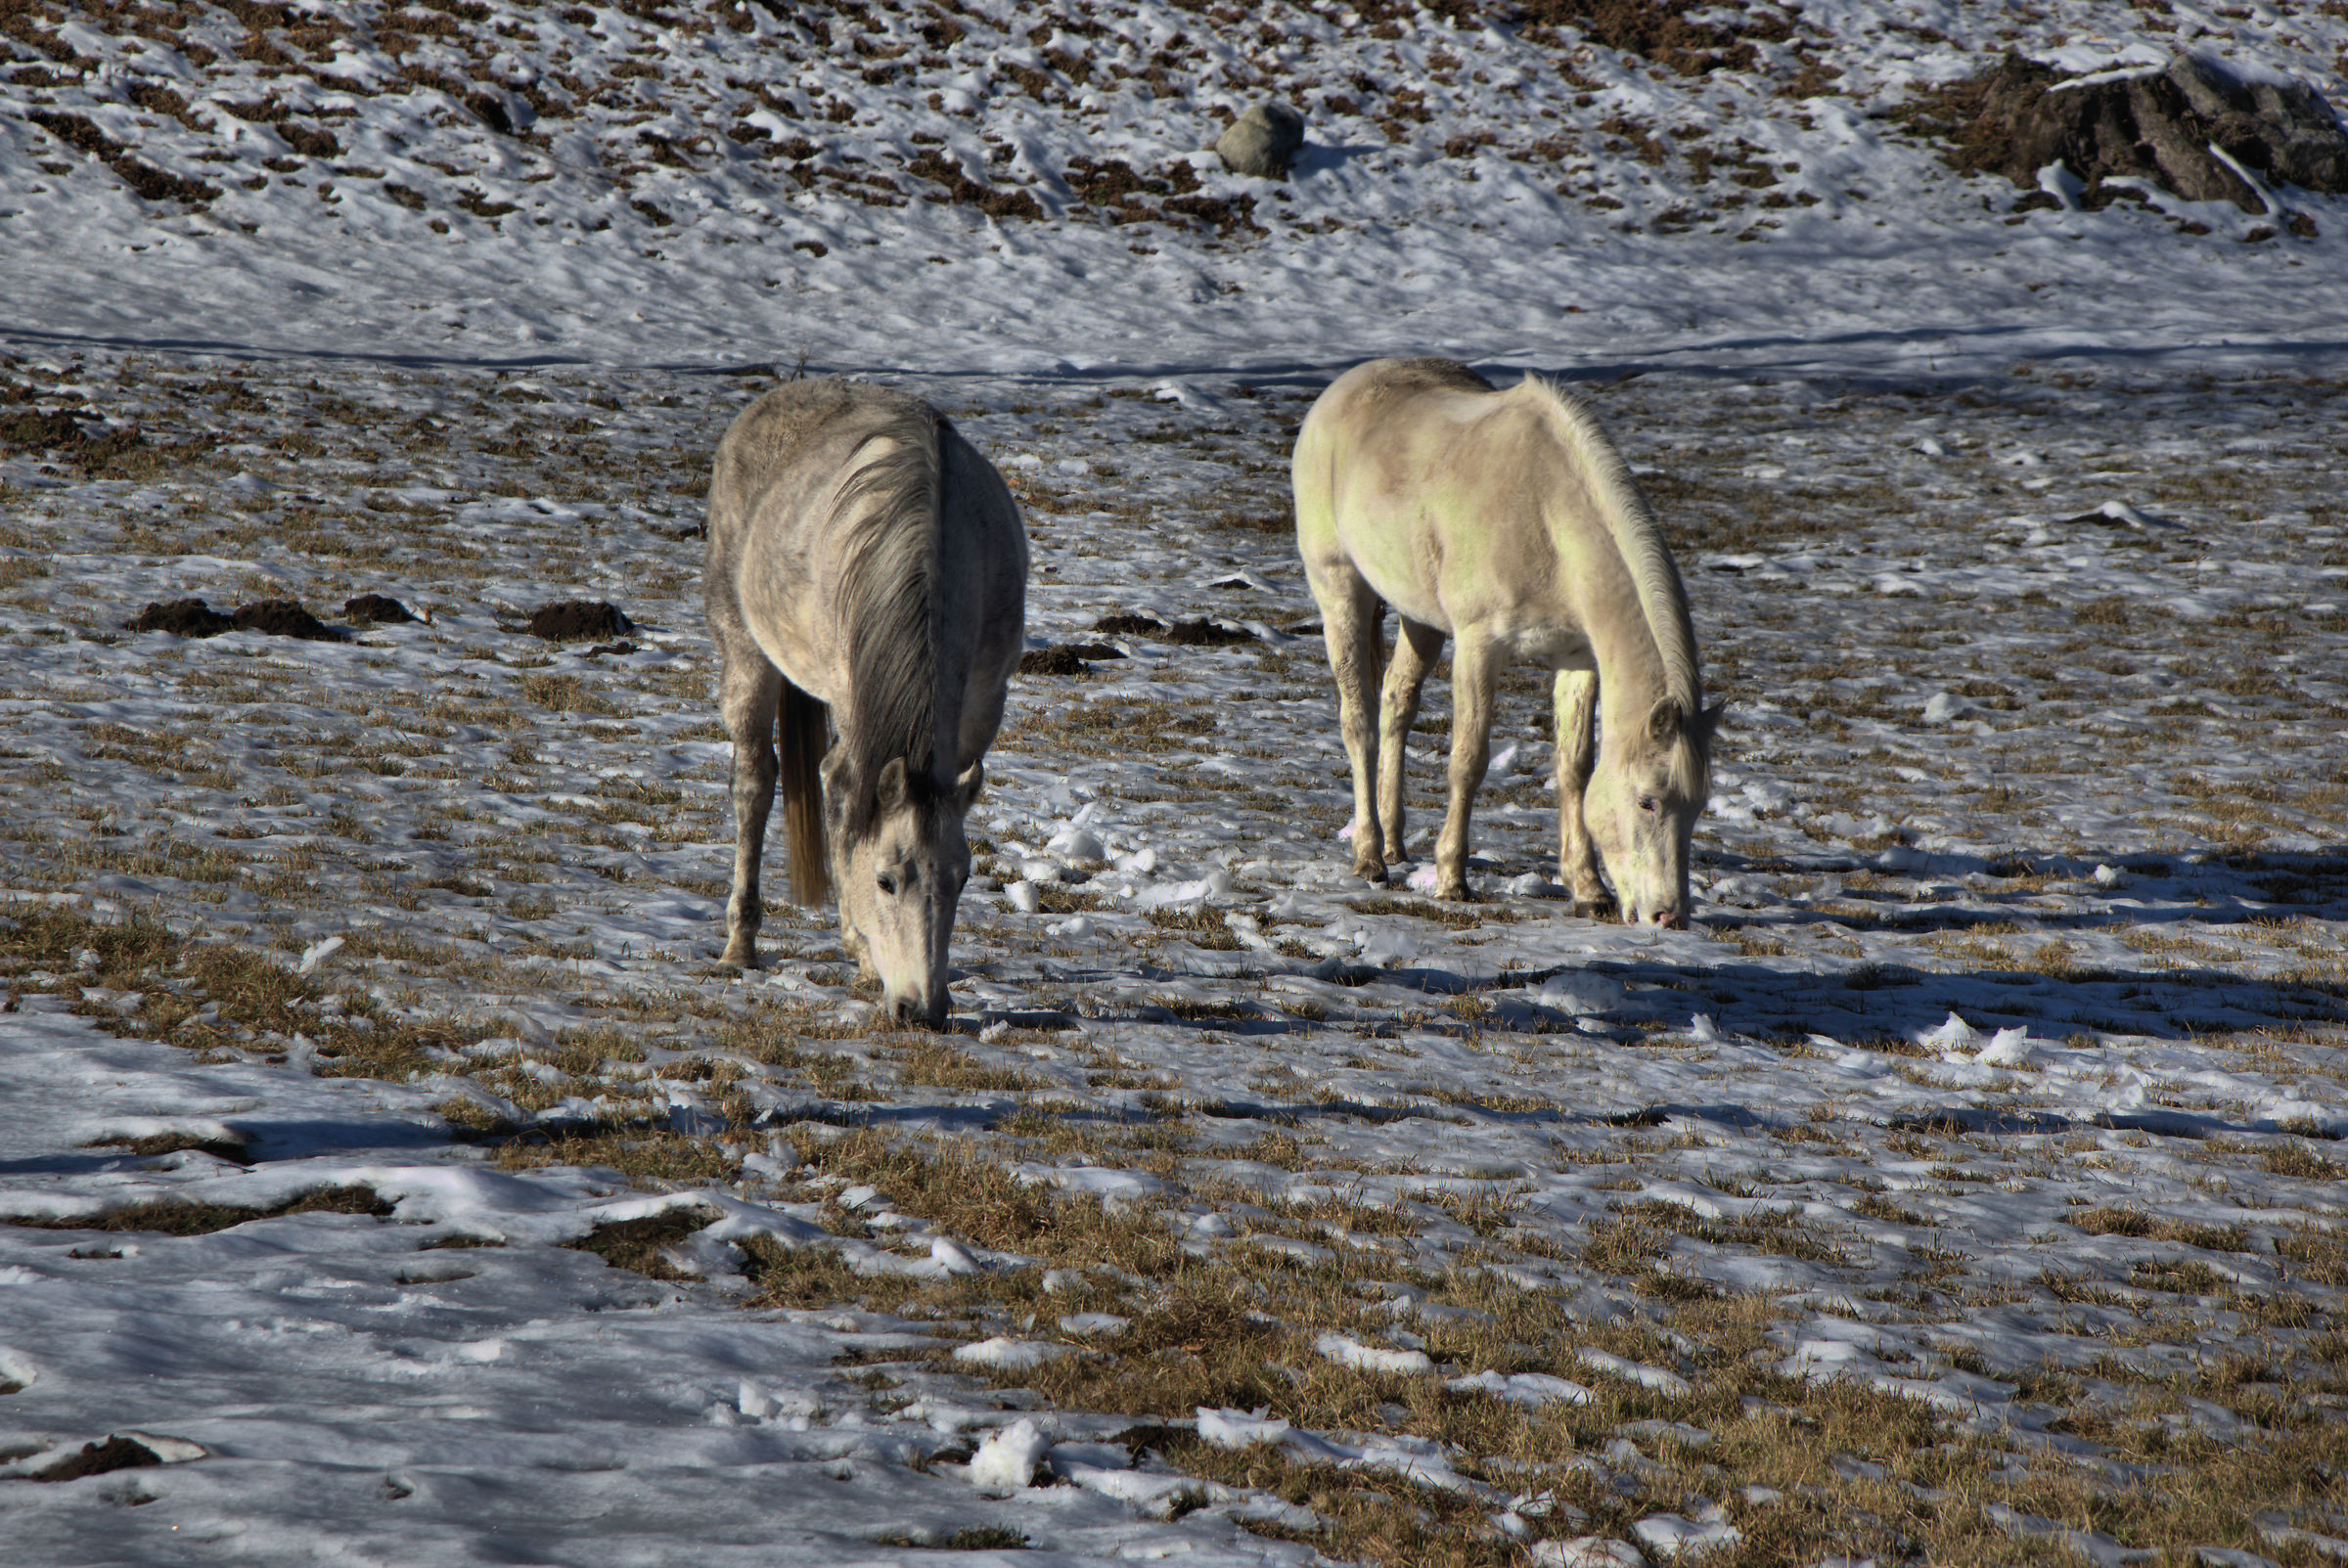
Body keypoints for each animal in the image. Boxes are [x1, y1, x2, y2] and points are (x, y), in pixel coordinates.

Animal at [704, 379, 1027, 1025]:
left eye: (963, 880)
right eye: (885, 881)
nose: (922, 1011)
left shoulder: (981, 705)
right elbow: (845, 799)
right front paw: (863, 951)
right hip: (745, 649)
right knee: (757, 782)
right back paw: (740, 946)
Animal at [1291, 357, 1720, 926]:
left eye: (1696, 808)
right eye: (1647, 801)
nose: (1669, 916)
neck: (1545, 515)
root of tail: (1344, 387)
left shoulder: (1577, 659)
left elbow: (1574, 769)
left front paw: (1588, 888)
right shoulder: (1479, 647)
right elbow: (1468, 762)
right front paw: (1451, 880)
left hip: (1420, 619)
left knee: (1396, 704)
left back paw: (1394, 846)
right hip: (1340, 594)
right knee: (1358, 721)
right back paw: (1369, 857)